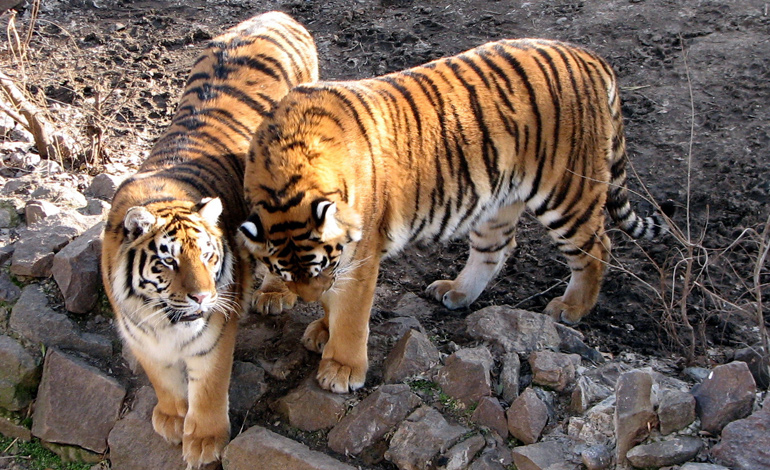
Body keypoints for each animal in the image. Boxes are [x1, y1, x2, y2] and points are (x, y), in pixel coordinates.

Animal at [100, 12, 317, 466]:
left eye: (208, 256)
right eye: (168, 261)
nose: (202, 297)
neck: (162, 320)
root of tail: (278, 14)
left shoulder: (214, 332)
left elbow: (209, 386)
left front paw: (203, 441)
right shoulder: (139, 335)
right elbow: (162, 378)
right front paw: (170, 416)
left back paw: (274, 293)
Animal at [238, 38, 671, 394]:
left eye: (318, 266)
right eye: (283, 273)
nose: (309, 297)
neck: (286, 171)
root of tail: (590, 57)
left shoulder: (359, 256)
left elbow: (351, 314)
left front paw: (341, 367)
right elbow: (336, 303)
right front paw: (321, 328)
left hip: (567, 191)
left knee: (598, 247)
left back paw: (572, 308)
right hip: (496, 201)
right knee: (497, 248)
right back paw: (458, 292)